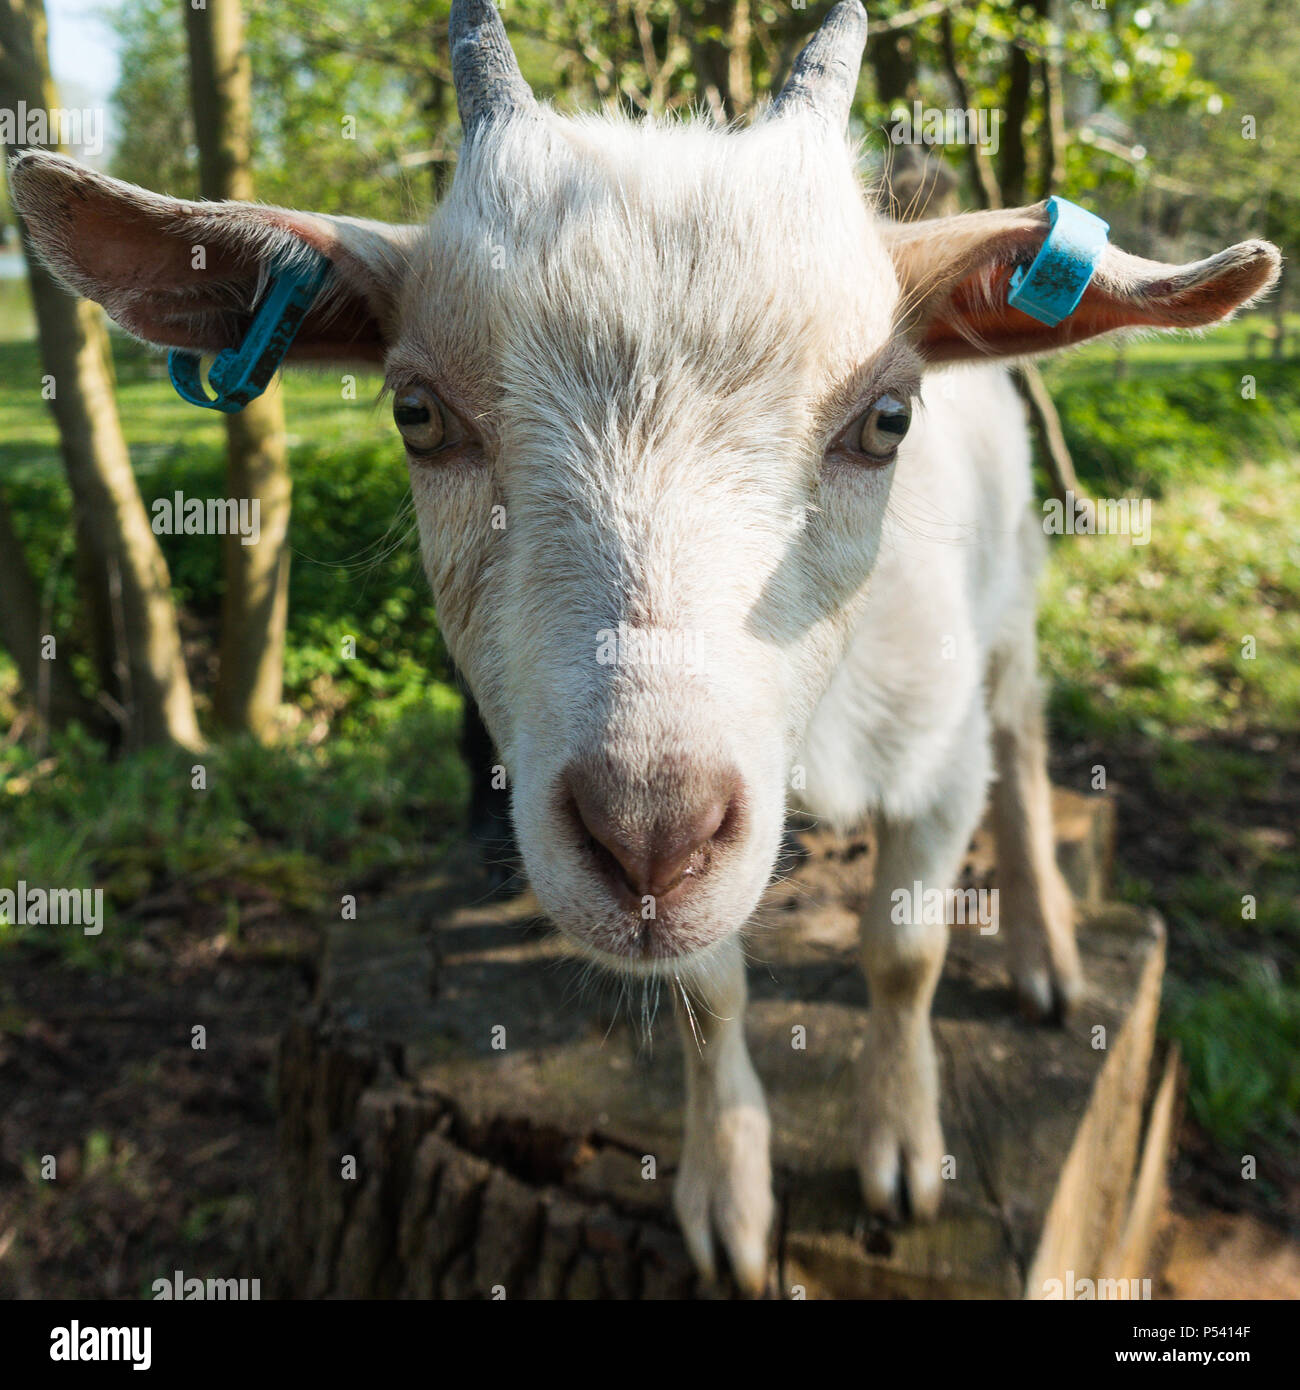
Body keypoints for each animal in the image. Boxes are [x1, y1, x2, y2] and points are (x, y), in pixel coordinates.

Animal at [11, 0, 1279, 1296]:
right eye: (416, 413)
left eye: (887, 419)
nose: (649, 832)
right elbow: (710, 990)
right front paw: (729, 1193)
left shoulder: (934, 753)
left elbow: (903, 953)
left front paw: (899, 1148)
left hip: (1012, 593)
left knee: (1022, 742)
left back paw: (1043, 950)